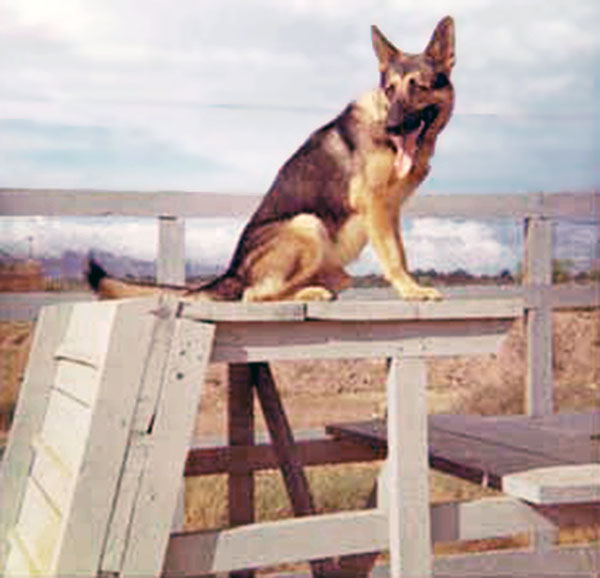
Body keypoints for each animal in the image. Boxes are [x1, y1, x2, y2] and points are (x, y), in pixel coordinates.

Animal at [89, 16, 454, 302]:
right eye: (390, 90)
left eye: (418, 87)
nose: (392, 126)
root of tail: (232, 271)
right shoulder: (373, 203)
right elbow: (393, 257)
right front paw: (412, 290)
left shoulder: (389, 210)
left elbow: (400, 251)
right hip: (306, 224)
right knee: (253, 295)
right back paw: (310, 293)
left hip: (331, 261)